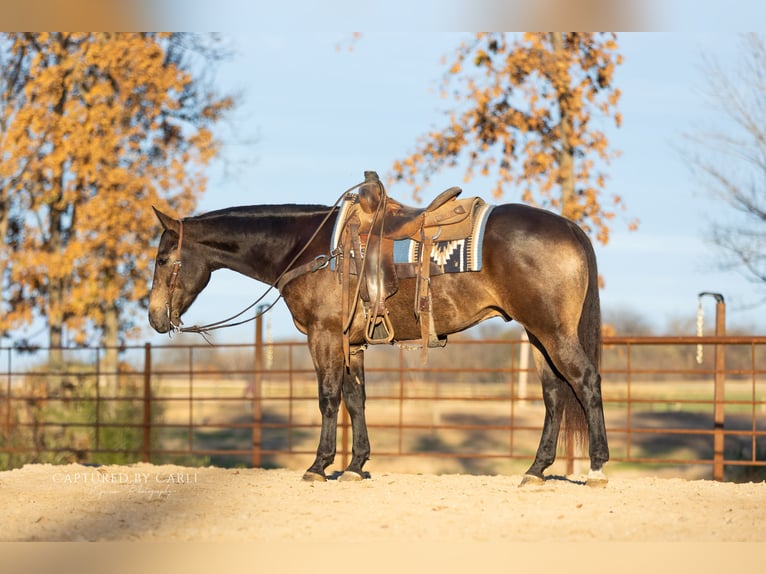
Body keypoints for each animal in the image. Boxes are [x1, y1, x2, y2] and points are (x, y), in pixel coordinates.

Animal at [147, 187, 609, 487]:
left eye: (163, 259)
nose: (154, 317)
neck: (310, 249)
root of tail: (569, 227)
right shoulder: (352, 344)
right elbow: (356, 400)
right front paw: (355, 466)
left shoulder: (324, 336)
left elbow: (329, 398)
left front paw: (318, 466)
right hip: (538, 336)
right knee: (554, 395)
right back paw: (536, 471)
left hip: (553, 333)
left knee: (586, 383)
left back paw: (597, 468)